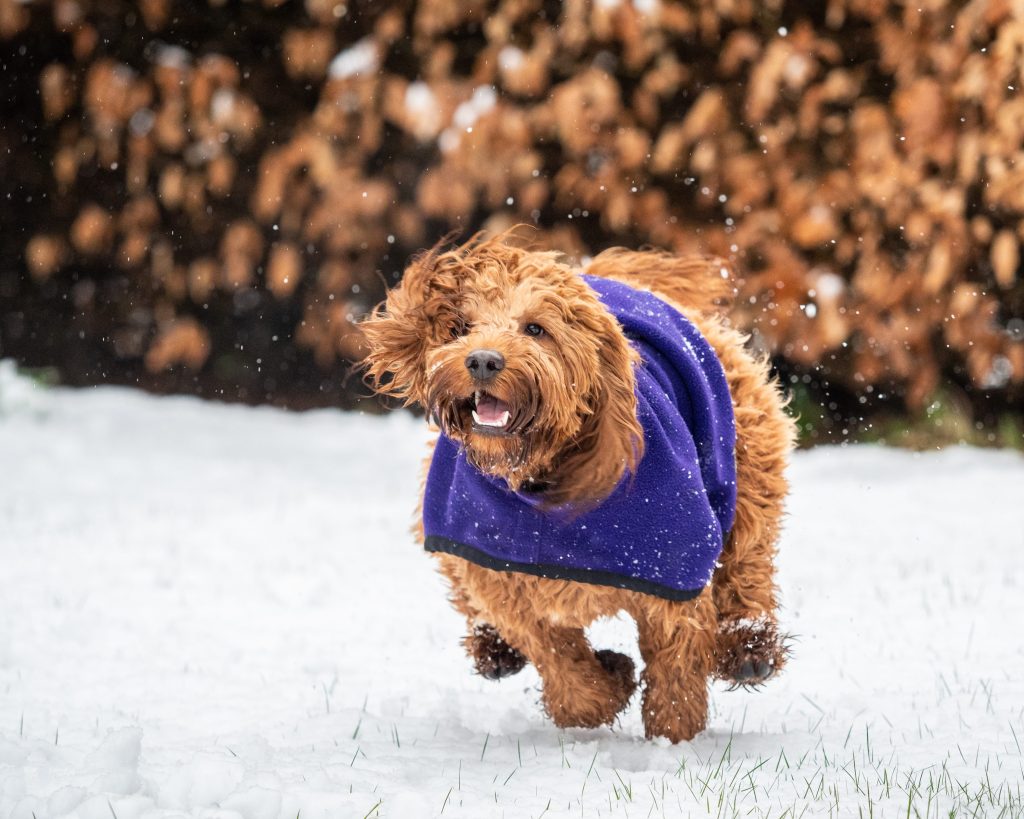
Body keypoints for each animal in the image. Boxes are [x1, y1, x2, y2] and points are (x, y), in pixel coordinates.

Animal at [364, 232, 794, 741]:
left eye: (535, 329)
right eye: (461, 327)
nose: (482, 360)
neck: (541, 479)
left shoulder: (672, 567)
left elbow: (676, 655)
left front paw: (673, 735)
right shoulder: (502, 579)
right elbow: (558, 659)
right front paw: (607, 686)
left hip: (747, 461)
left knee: (749, 558)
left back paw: (749, 647)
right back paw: (494, 648)